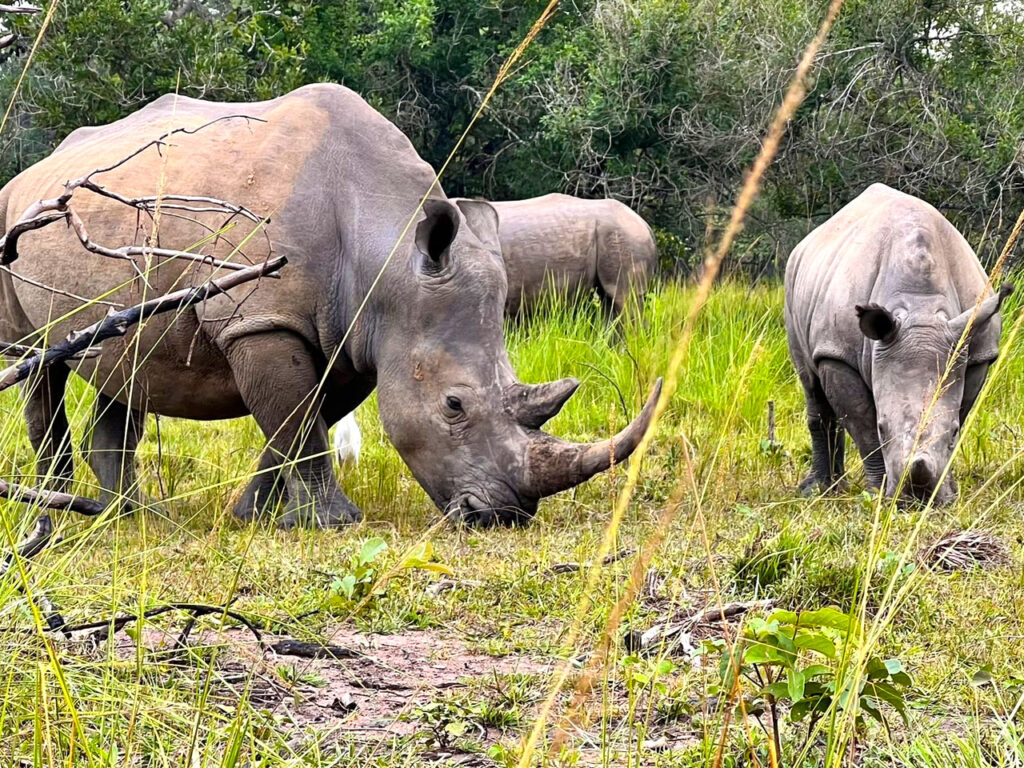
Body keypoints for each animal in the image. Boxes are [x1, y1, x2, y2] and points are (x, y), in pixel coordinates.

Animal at [785, 183, 1011, 505]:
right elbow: (863, 425)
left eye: (954, 432)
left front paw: (949, 492)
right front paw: (878, 494)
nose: (917, 500)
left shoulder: (977, 352)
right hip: (794, 286)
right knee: (811, 384)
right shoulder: (838, 353)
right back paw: (819, 490)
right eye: (883, 427)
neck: (921, 307)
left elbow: (962, 410)